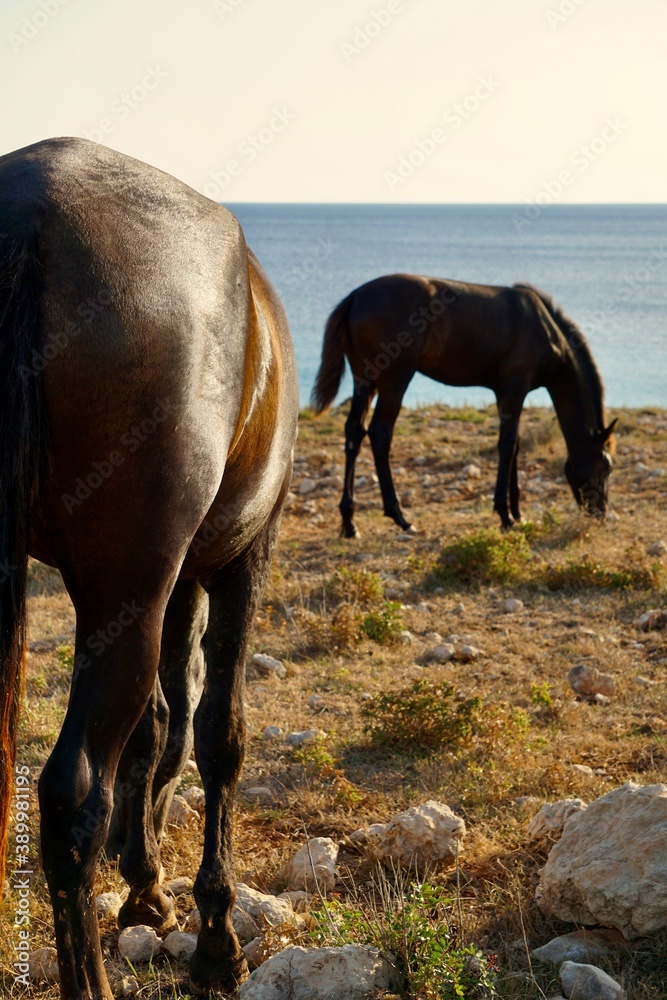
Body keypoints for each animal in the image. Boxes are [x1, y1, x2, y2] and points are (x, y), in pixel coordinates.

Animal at [0, 137, 298, 999]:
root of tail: (32, 207)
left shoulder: (171, 580)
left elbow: (158, 725)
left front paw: (144, 886)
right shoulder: (237, 558)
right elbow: (218, 732)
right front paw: (216, 940)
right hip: (133, 584)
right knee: (71, 795)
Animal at [311, 274, 617, 537]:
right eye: (606, 467)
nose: (599, 513)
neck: (544, 329)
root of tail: (354, 298)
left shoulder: (503, 392)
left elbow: (515, 444)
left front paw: (518, 512)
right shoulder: (515, 387)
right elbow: (507, 444)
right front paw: (505, 515)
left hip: (365, 381)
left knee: (354, 432)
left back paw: (349, 522)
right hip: (395, 381)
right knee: (379, 434)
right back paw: (400, 517)